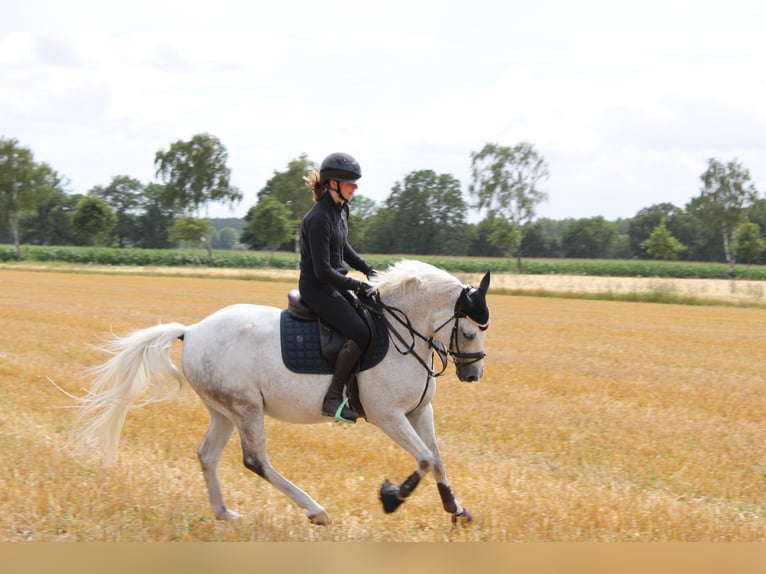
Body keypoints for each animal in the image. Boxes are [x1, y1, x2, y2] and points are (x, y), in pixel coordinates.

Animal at [70, 259, 491, 526]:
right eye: (470, 332)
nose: (473, 374)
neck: (403, 331)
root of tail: (192, 331)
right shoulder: (387, 414)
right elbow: (423, 458)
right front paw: (391, 498)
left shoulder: (419, 411)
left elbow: (437, 459)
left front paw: (456, 511)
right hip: (246, 408)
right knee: (255, 460)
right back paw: (315, 510)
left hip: (224, 410)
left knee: (208, 455)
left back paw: (225, 513)